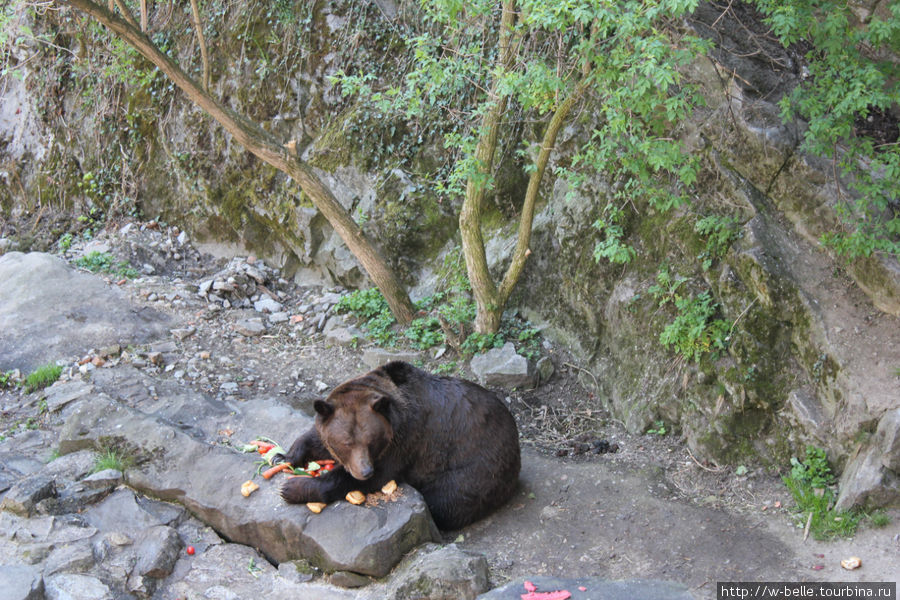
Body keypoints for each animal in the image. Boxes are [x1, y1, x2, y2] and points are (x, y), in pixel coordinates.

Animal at [280, 358, 520, 528]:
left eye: (371, 441)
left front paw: (292, 488)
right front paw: (284, 457)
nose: (364, 470)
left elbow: (378, 476)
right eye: (346, 442)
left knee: (446, 500)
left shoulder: (406, 442)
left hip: (474, 469)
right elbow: (315, 440)